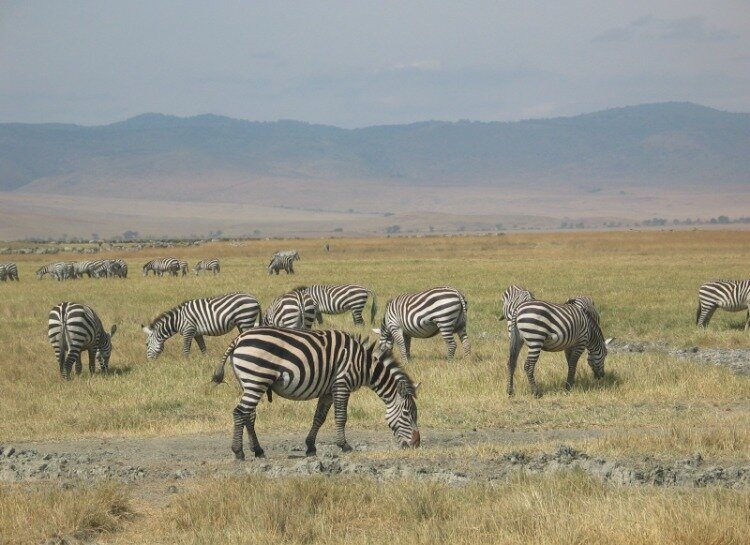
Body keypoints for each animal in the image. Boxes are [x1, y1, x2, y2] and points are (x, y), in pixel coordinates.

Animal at [214, 328, 420, 460]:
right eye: (407, 413)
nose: (416, 444)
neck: (364, 365)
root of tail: (239, 339)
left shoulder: (328, 391)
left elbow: (319, 418)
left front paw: (310, 447)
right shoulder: (342, 384)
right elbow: (341, 417)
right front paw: (344, 445)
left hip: (251, 383)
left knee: (249, 415)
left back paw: (258, 451)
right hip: (256, 379)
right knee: (239, 413)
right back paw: (238, 452)